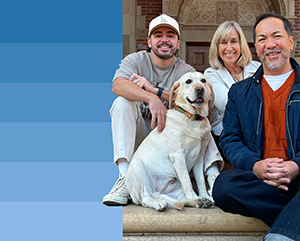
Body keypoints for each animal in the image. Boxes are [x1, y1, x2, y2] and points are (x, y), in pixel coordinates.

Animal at [125, 71, 214, 211]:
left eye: (203, 80)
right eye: (188, 81)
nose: (200, 89)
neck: (193, 119)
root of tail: (157, 192)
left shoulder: (199, 158)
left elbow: (200, 181)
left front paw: (204, 195)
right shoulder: (178, 156)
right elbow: (188, 181)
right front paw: (195, 196)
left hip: (176, 189)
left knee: (181, 201)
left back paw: (200, 200)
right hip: (138, 168)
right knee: (145, 199)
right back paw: (158, 203)